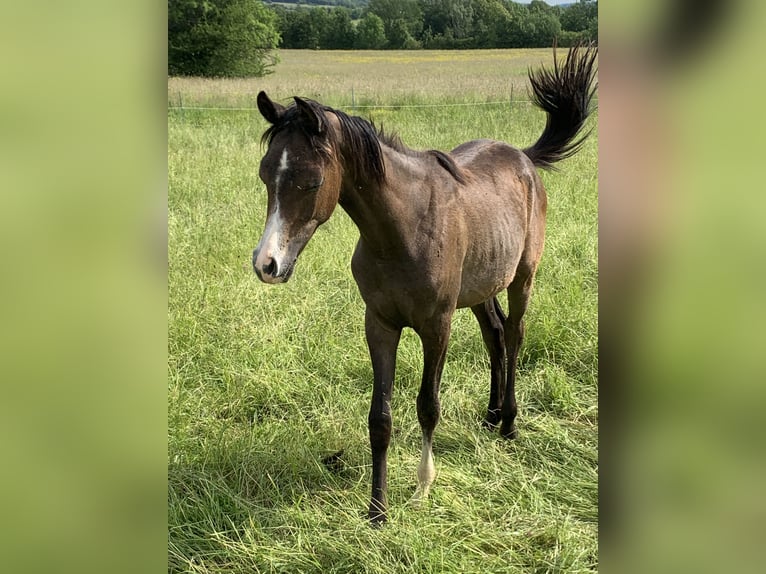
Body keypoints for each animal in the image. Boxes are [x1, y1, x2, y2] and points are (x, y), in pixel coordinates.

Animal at [252, 46, 600, 528]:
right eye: (266, 174)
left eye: (312, 180)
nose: (267, 265)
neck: (402, 229)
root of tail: (524, 157)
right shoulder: (380, 324)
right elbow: (379, 418)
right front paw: (377, 509)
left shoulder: (437, 326)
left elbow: (427, 406)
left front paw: (421, 489)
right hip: (480, 287)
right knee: (494, 333)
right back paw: (491, 415)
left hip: (521, 277)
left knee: (514, 333)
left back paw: (509, 422)